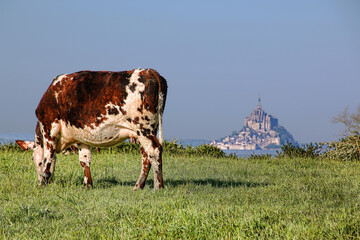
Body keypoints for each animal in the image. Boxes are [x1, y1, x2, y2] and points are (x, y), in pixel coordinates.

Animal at [16, 68, 168, 190]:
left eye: (36, 161)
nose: (39, 181)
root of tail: (150, 71)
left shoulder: (49, 130)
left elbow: (48, 159)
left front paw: (43, 182)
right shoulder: (80, 137)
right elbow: (84, 160)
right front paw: (87, 184)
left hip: (143, 129)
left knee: (154, 151)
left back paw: (158, 186)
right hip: (146, 131)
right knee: (146, 156)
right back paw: (138, 186)